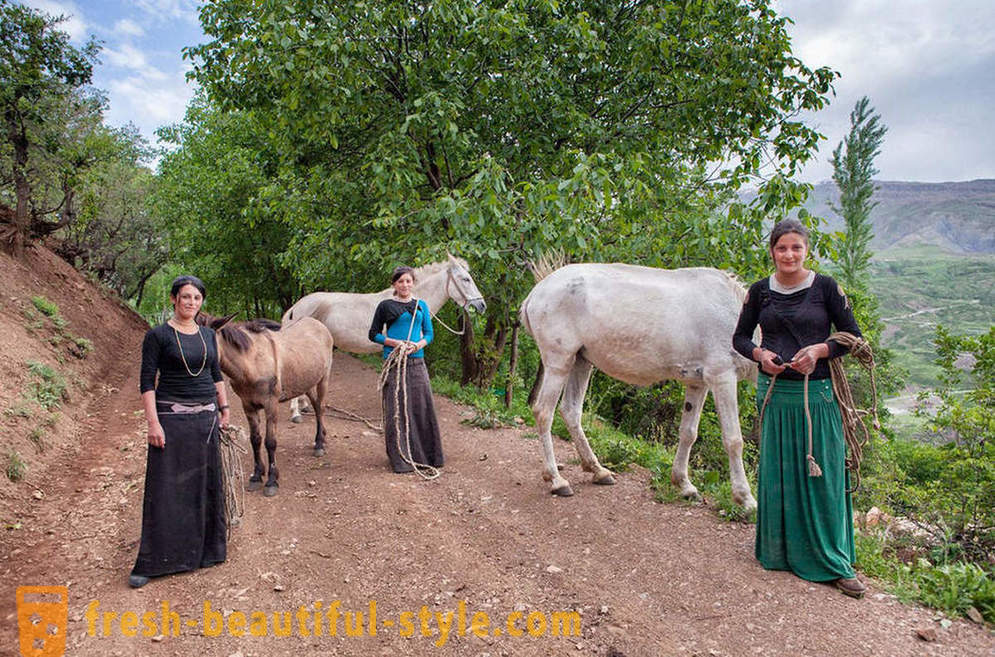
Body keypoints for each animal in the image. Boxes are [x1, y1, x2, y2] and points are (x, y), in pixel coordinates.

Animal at [200, 316, 336, 494]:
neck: (251, 363)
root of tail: (317, 323)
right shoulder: (248, 405)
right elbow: (255, 439)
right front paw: (257, 476)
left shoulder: (271, 405)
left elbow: (270, 442)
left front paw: (271, 481)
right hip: (306, 381)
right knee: (315, 405)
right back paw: (321, 437)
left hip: (323, 379)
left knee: (320, 408)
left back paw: (319, 444)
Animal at [520, 262, 756, 508]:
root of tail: (535, 293)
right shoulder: (722, 377)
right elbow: (733, 439)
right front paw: (745, 498)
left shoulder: (697, 383)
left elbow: (688, 433)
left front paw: (684, 485)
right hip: (559, 362)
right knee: (544, 412)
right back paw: (556, 480)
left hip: (581, 361)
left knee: (570, 411)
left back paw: (598, 470)